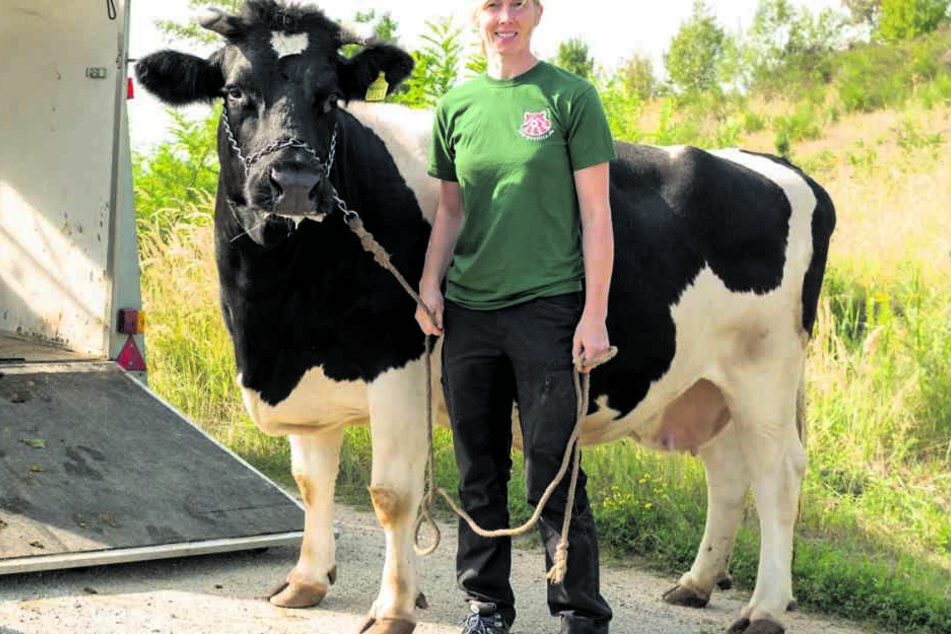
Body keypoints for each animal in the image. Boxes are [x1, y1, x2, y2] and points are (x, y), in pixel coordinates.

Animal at [134, 2, 832, 628]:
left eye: (330, 97)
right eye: (234, 92)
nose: (296, 181)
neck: (279, 308)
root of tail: (778, 166)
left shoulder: (399, 370)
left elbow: (392, 494)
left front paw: (393, 608)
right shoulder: (304, 374)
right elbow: (311, 482)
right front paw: (306, 582)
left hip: (765, 372)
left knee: (777, 475)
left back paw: (765, 608)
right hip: (707, 382)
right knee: (728, 472)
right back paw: (696, 583)